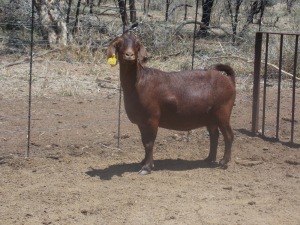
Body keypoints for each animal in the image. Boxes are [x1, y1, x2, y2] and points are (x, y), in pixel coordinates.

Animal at [106, 33, 236, 174]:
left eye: (137, 44)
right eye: (119, 44)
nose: (129, 55)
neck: (139, 81)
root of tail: (228, 80)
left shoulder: (151, 119)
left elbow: (149, 143)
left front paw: (147, 167)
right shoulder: (141, 122)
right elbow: (144, 142)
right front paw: (143, 162)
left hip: (222, 111)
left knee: (228, 135)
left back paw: (223, 162)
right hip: (210, 117)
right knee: (214, 135)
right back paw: (209, 159)